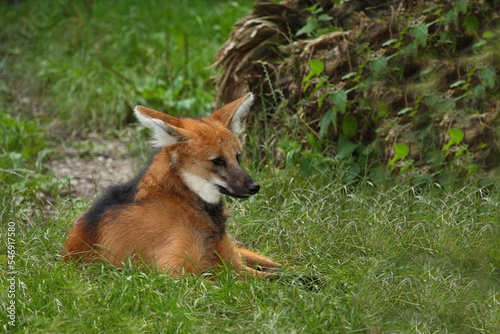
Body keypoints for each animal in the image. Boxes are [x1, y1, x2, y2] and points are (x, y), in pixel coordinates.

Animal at [62, 92, 284, 278]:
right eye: (217, 161)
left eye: (237, 157)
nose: (254, 187)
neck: (184, 196)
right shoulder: (176, 273)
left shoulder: (228, 259)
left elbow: (285, 274)